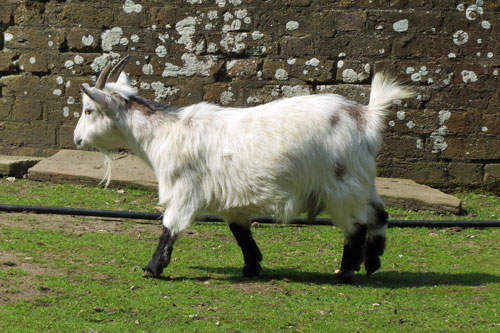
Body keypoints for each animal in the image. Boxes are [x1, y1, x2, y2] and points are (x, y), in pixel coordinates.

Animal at [74, 55, 416, 282]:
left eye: (89, 110)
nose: (77, 139)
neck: (164, 132)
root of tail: (365, 115)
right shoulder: (231, 197)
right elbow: (240, 232)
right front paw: (252, 267)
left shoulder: (184, 190)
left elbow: (170, 228)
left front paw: (152, 268)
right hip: (362, 181)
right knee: (379, 214)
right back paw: (372, 261)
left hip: (341, 185)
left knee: (356, 226)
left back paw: (346, 270)